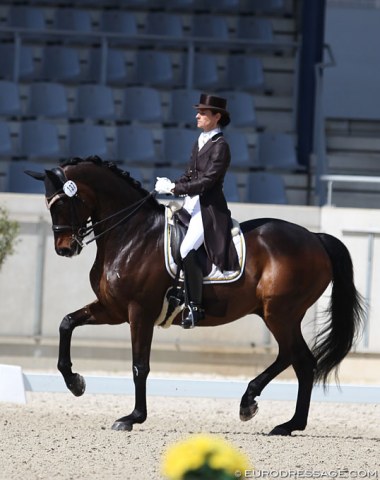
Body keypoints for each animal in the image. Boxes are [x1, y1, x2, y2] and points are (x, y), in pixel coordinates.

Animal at [25, 157, 364, 436]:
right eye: (47, 203)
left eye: (63, 203)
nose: (65, 249)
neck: (131, 235)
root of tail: (315, 238)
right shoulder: (112, 309)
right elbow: (67, 323)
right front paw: (75, 383)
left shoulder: (139, 312)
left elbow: (139, 365)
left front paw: (132, 417)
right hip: (278, 315)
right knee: (292, 357)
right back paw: (262, 409)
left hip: (280, 313)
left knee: (302, 361)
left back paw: (282, 420)